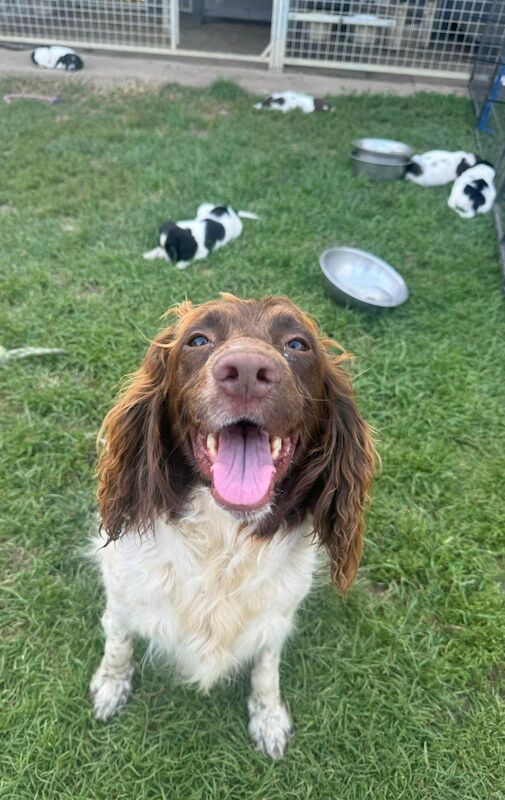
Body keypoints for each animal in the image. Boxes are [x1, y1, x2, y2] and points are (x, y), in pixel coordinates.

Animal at [90, 294, 374, 756]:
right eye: (198, 339)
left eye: (298, 344)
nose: (245, 371)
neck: (223, 540)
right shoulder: (123, 593)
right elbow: (117, 642)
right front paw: (111, 686)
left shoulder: (276, 617)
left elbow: (266, 670)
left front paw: (269, 717)